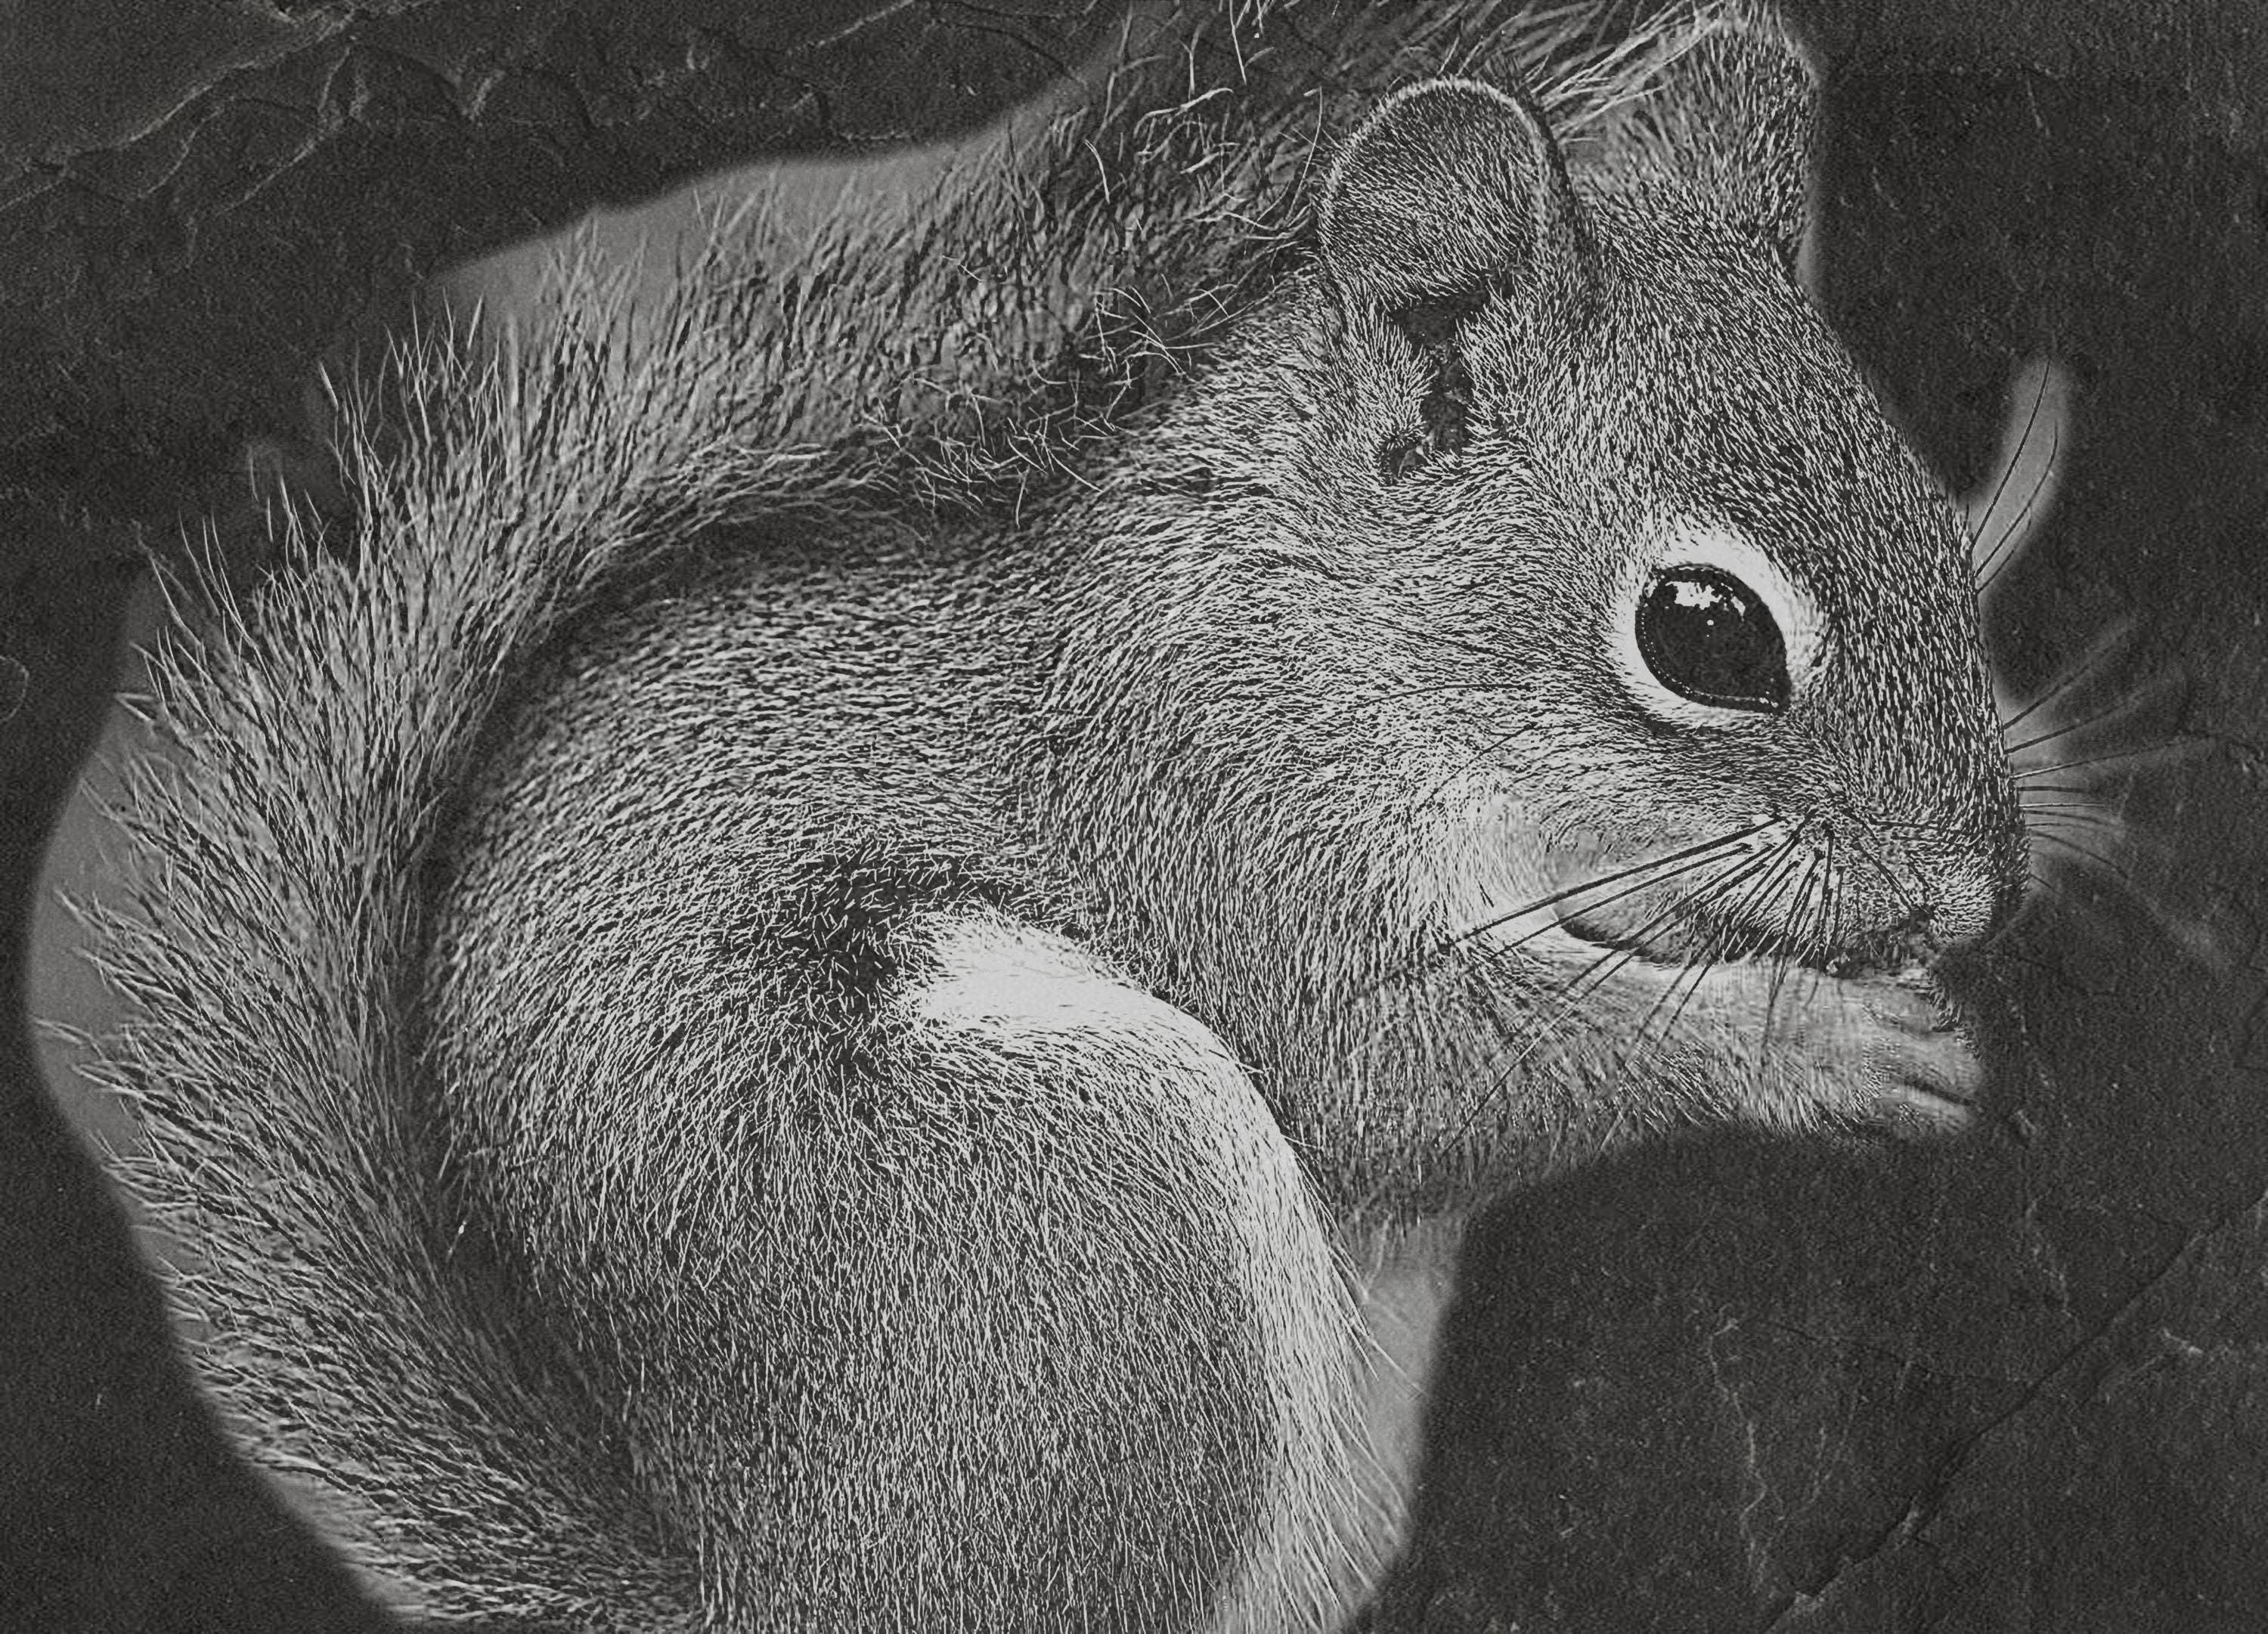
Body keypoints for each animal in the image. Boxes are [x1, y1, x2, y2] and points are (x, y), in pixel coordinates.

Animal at [76, 1, 2034, 1629]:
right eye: (1702, 631)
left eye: (1932, 507)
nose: (1965, 894)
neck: (1335, 613)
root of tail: (756, 1590)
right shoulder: (1214, 806)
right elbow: (1403, 1075)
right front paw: (1824, 1040)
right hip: (1067, 1195)